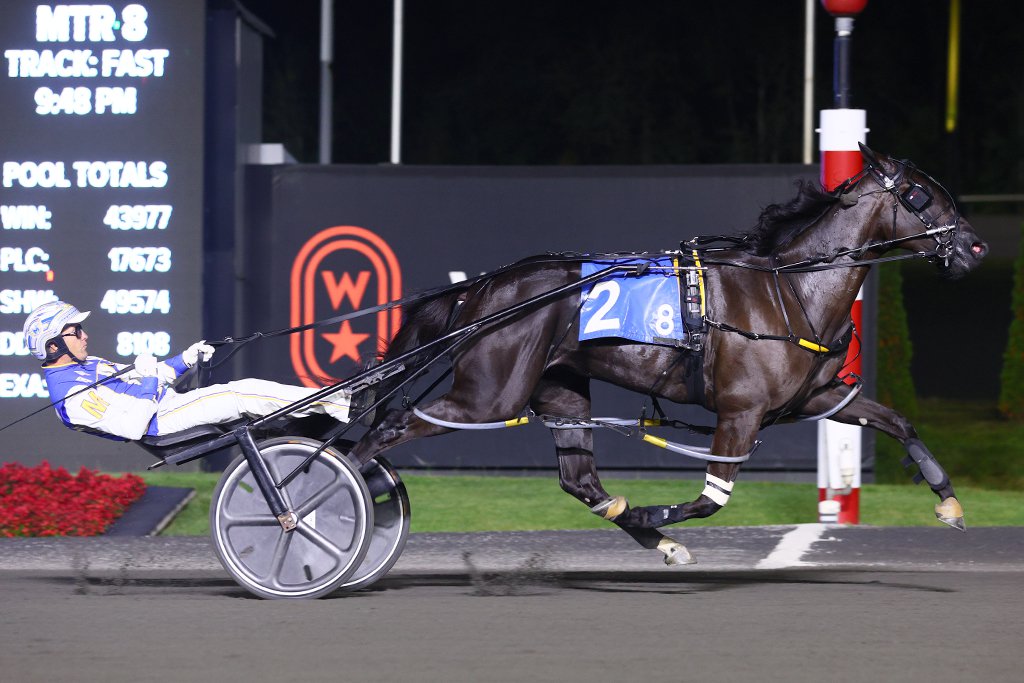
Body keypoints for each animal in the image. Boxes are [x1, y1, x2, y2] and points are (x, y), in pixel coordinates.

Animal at [348, 145, 987, 565]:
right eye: (921, 195)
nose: (975, 247)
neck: (791, 291)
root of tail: (483, 288)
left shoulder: (820, 397)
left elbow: (896, 421)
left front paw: (951, 505)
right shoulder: (741, 411)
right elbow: (709, 500)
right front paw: (653, 516)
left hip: (557, 388)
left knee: (580, 479)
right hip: (488, 395)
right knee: (388, 428)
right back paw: (327, 497)